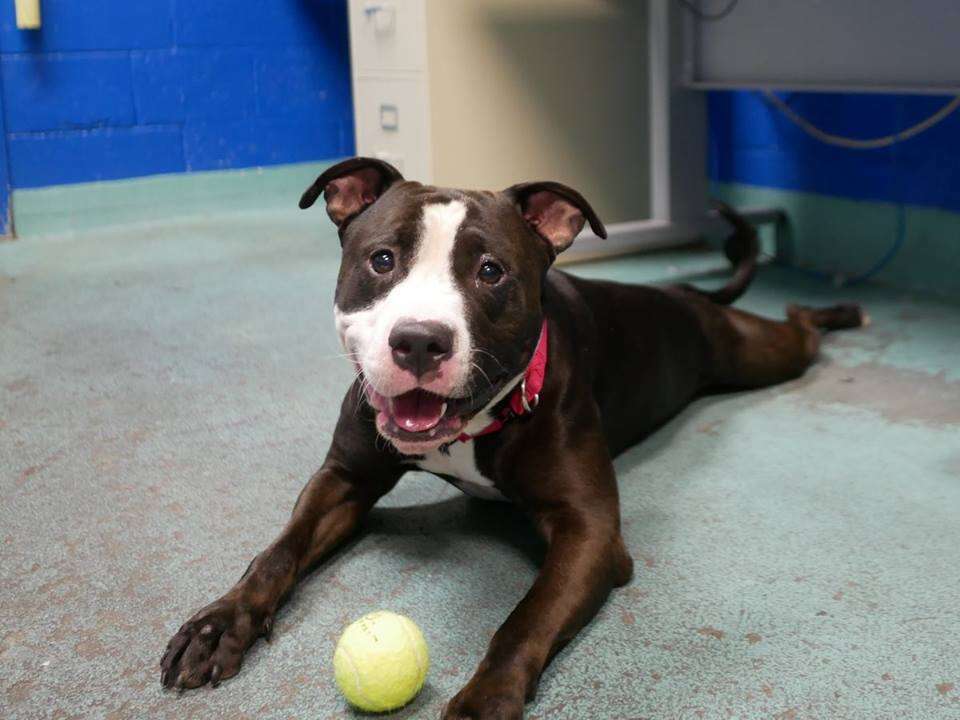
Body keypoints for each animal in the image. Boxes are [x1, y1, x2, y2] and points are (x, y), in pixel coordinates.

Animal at [161, 156, 868, 716]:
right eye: (382, 260)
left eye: (491, 271)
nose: (419, 340)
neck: (470, 428)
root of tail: (682, 291)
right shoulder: (344, 478)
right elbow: (277, 551)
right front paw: (219, 624)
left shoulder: (589, 532)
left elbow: (523, 619)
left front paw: (483, 701)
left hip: (754, 353)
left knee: (799, 326)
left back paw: (839, 312)